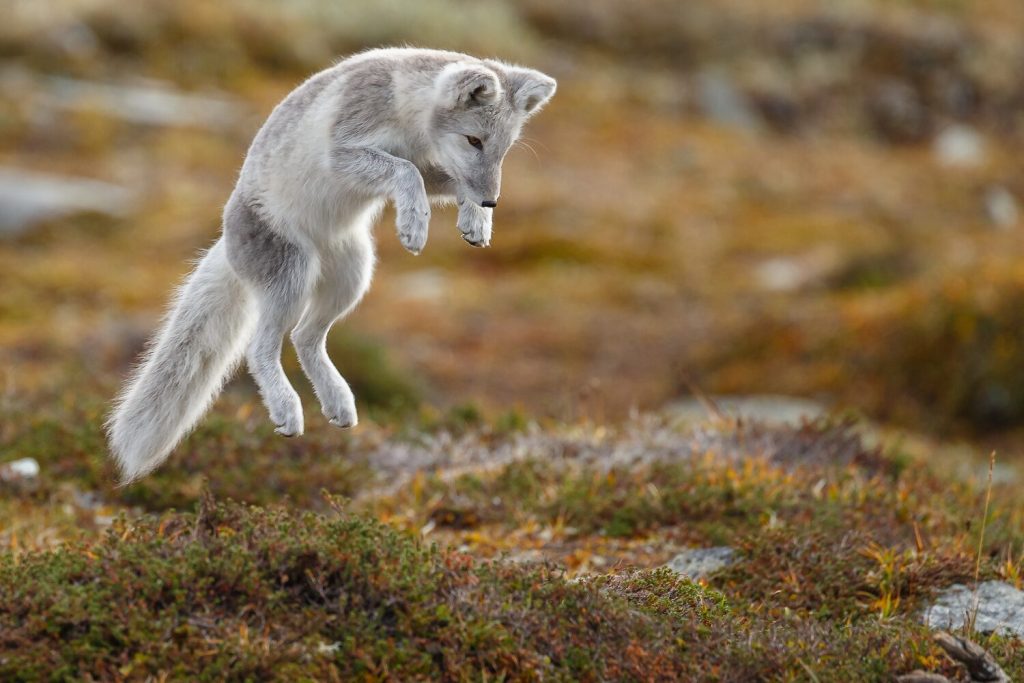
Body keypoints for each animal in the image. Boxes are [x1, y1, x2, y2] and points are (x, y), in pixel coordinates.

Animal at [107, 48, 556, 482]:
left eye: (504, 149)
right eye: (474, 140)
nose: (491, 201)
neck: (407, 113)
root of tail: (227, 243)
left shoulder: (430, 164)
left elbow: (437, 176)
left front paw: (475, 221)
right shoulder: (344, 149)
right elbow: (406, 171)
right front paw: (415, 224)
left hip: (353, 274)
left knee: (305, 338)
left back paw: (338, 401)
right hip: (293, 273)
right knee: (262, 348)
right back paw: (287, 408)